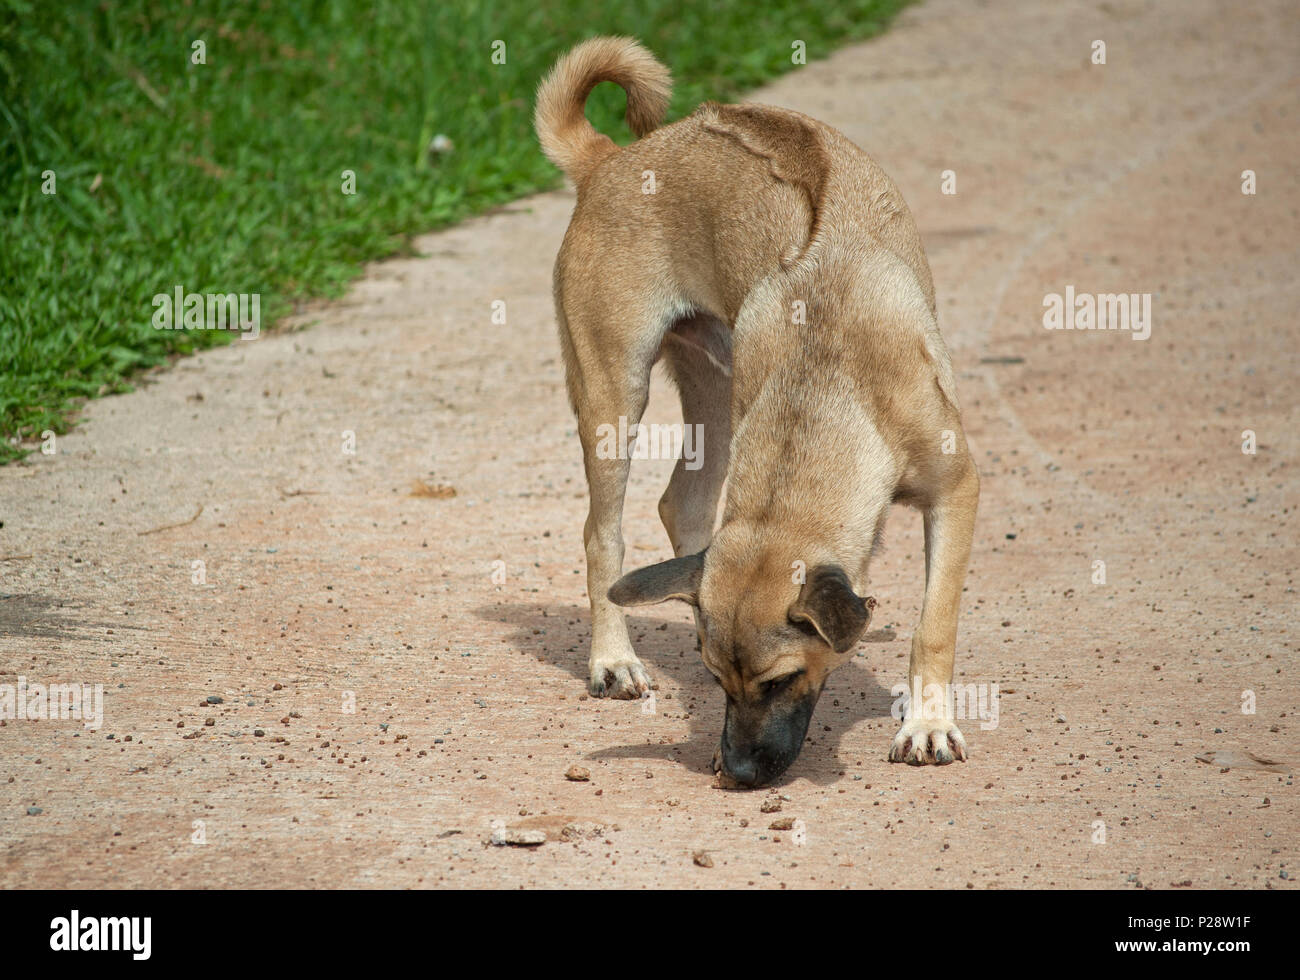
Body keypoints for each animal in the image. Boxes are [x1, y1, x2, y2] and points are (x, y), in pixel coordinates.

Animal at [533, 40, 977, 785]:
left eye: (780, 680)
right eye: (717, 681)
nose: (736, 771)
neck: (827, 377)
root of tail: (613, 158)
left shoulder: (955, 490)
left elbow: (933, 625)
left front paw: (927, 725)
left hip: (713, 398)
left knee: (680, 505)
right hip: (615, 395)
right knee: (603, 534)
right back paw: (613, 658)